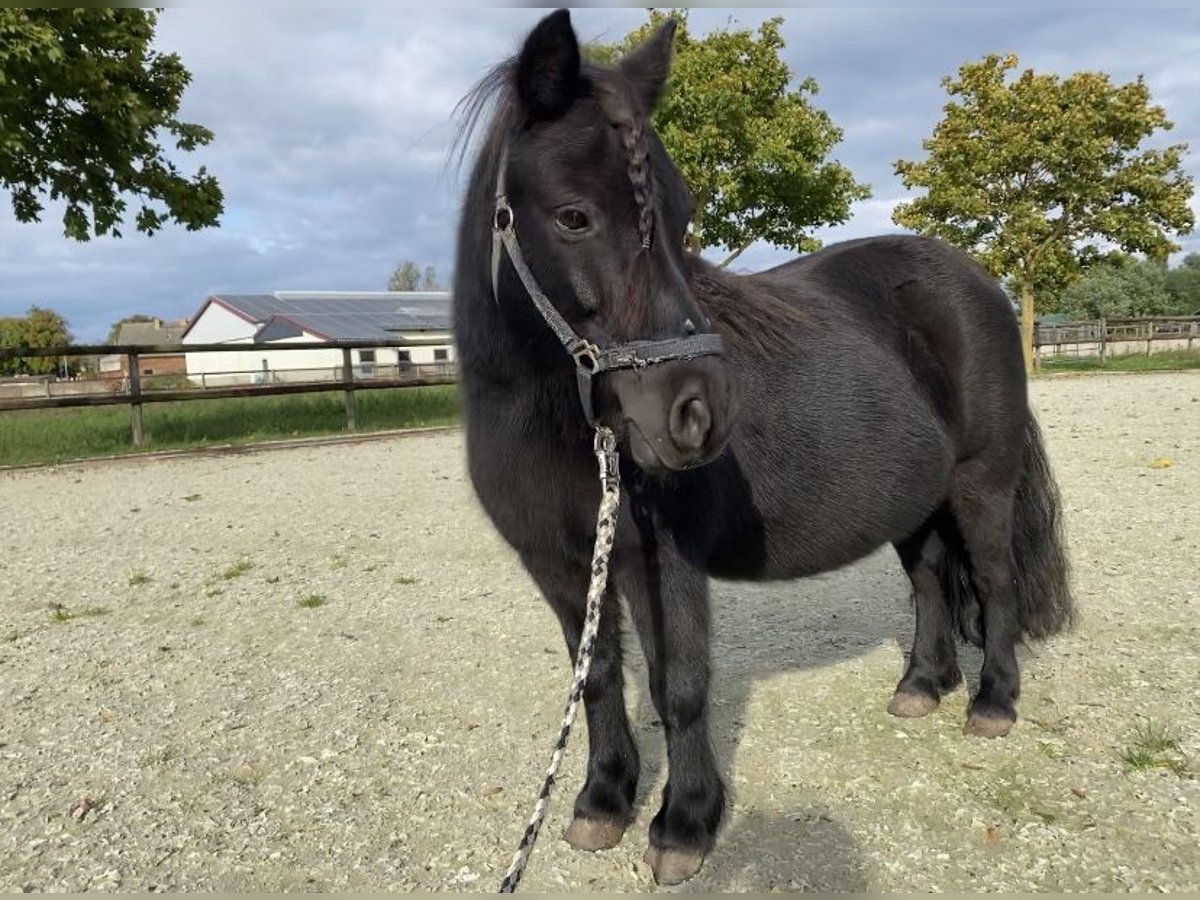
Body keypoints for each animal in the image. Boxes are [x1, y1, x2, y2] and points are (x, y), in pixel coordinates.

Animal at [451, 8, 1080, 888]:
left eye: (682, 218)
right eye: (574, 215)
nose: (698, 415)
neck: (559, 420)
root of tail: (979, 282)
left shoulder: (662, 560)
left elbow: (678, 686)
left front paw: (685, 824)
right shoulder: (558, 565)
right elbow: (599, 678)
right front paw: (601, 803)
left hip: (981, 482)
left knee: (993, 581)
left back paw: (992, 703)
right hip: (913, 502)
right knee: (929, 580)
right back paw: (922, 685)